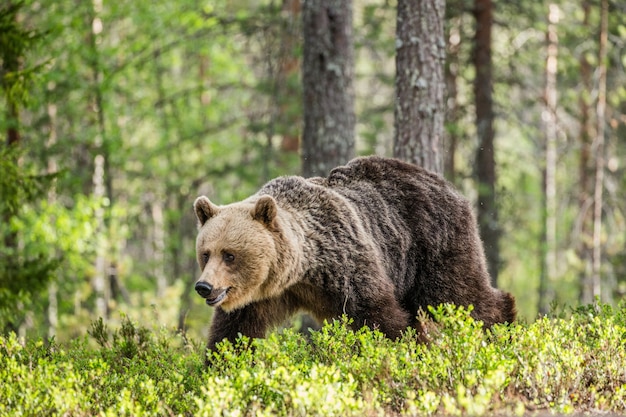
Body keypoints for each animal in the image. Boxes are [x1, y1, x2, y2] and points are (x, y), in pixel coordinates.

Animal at [193, 155, 516, 354]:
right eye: (206, 253)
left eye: (230, 255)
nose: (204, 286)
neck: (302, 271)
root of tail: (446, 183)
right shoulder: (260, 296)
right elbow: (233, 333)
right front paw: (216, 369)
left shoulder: (346, 265)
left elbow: (379, 318)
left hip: (433, 244)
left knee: (460, 296)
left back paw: (504, 330)